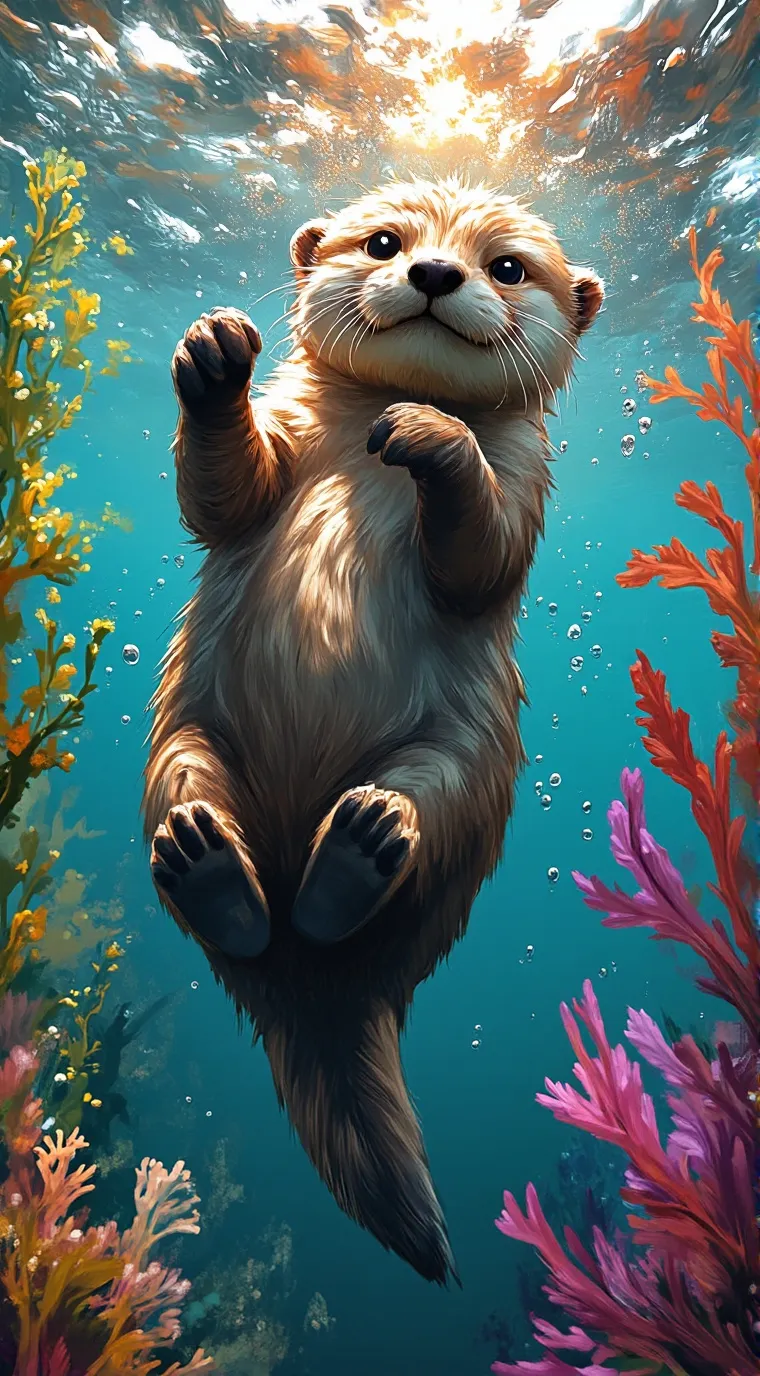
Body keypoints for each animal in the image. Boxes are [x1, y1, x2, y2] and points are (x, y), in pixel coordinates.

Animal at [143, 177, 603, 1284]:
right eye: (385, 243)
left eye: (507, 267)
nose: (434, 272)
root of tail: (315, 989)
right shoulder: (280, 440)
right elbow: (225, 497)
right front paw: (213, 354)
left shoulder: (524, 477)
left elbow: (482, 553)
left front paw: (432, 432)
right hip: (179, 740)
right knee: (200, 835)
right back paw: (209, 865)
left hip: (465, 774)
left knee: (396, 844)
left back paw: (354, 849)